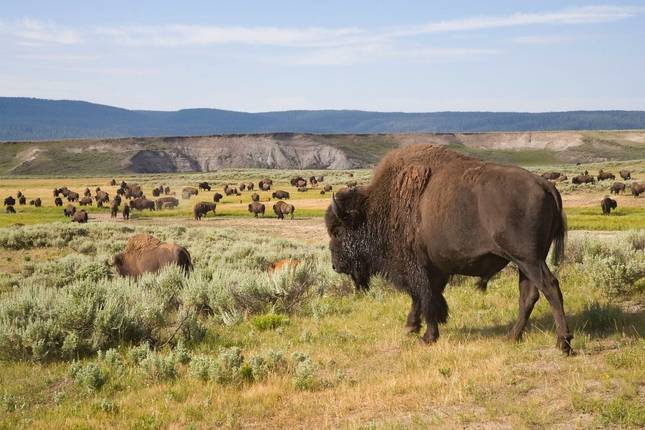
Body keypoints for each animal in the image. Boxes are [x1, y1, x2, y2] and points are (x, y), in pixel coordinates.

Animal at [325, 145, 571, 353]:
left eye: (337, 231)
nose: (335, 265)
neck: (381, 207)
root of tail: (545, 185)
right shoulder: (436, 267)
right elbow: (426, 297)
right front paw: (411, 327)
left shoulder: (418, 267)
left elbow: (425, 297)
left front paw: (427, 336)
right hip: (525, 263)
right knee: (528, 294)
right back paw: (512, 337)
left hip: (529, 259)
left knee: (550, 287)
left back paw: (563, 343)